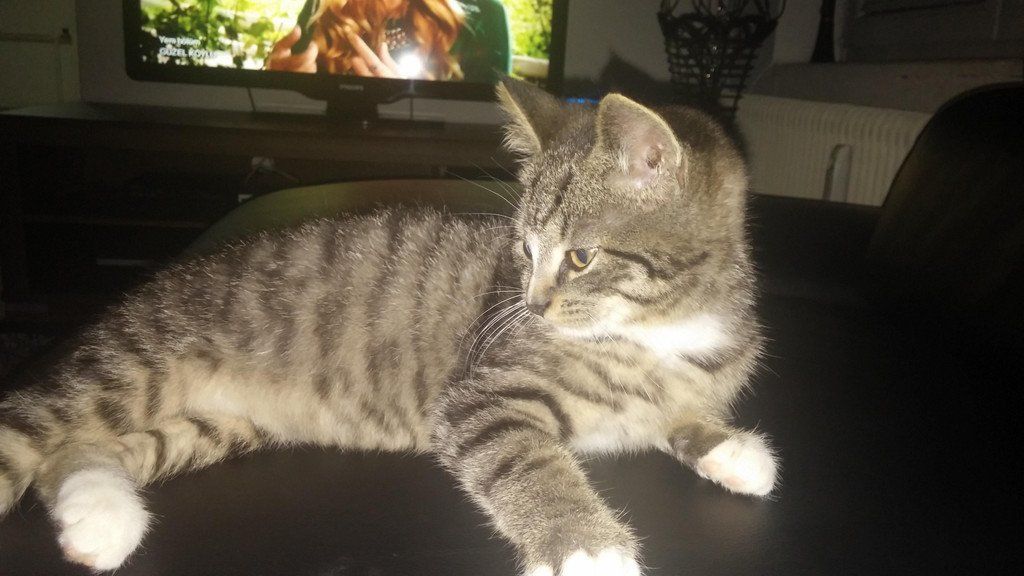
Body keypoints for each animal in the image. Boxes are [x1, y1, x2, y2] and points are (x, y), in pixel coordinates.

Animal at [0, 77, 777, 575]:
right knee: (35, 436)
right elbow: (526, 459)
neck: (662, 327)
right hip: (132, 363)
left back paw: (99, 520)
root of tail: (158, 282)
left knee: (78, 455)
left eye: (580, 257)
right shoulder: (478, 394)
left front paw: (730, 447)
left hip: (216, 423)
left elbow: (673, 413)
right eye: (524, 252)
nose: (531, 305)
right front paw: (587, 549)